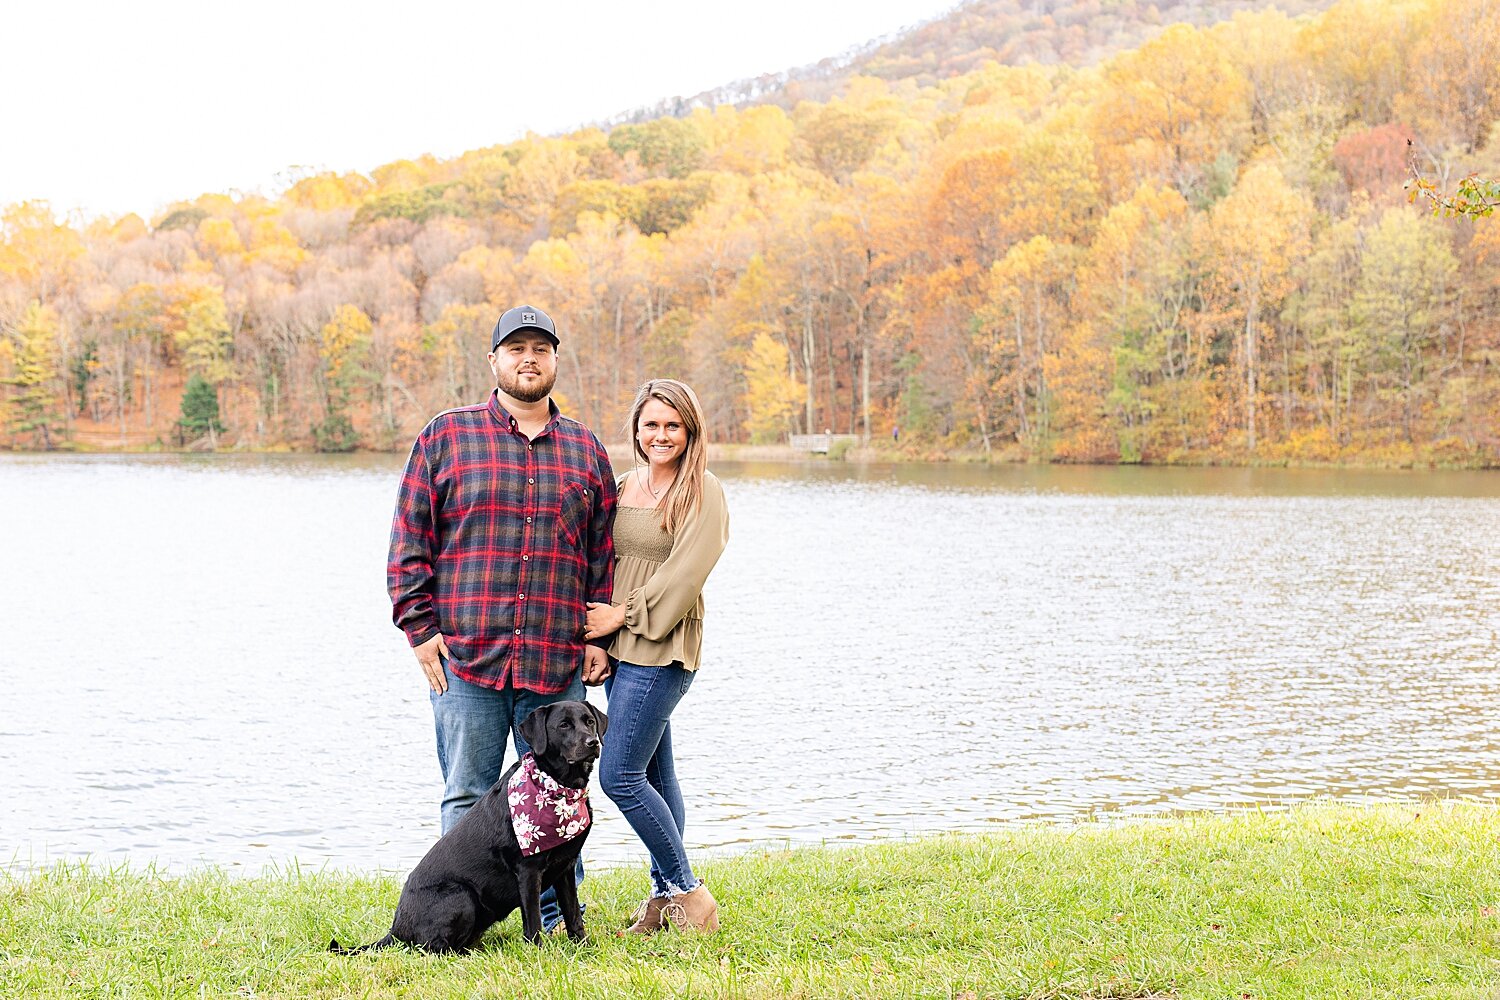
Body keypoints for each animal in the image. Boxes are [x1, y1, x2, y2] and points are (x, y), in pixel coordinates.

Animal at [331, 701, 606, 959]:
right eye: (563, 725)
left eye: (590, 721)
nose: (593, 742)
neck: (557, 787)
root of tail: (395, 931)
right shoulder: (528, 870)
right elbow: (533, 923)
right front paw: (538, 955)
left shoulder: (565, 866)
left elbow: (573, 914)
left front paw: (584, 948)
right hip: (462, 895)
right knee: (433, 948)